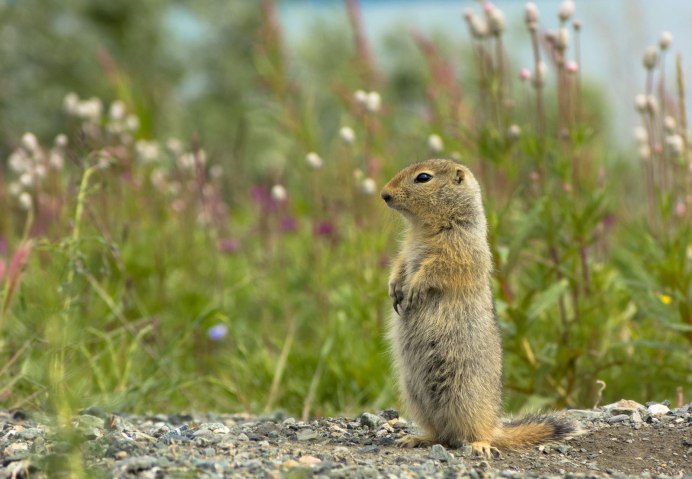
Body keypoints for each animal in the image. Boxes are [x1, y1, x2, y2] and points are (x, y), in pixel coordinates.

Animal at [382, 159, 576, 460]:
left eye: (423, 178)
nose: (384, 194)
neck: (424, 227)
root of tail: (495, 426)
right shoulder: (407, 248)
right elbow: (401, 263)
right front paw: (394, 288)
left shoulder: (461, 248)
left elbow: (440, 267)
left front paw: (414, 287)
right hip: (415, 395)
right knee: (439, 433)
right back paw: (415, 438)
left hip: (466, 397)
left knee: (472, 433)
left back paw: (479, 444)